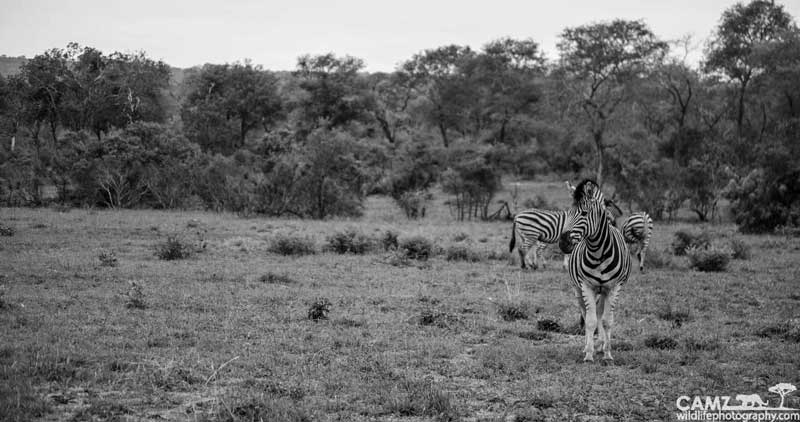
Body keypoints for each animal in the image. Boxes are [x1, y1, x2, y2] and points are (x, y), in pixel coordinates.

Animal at [566, 179, 631, 362]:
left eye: (584, 213)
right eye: (568, 213)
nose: (563, 243)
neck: (598, 252)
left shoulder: (614, 287)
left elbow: (607, 321)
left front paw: (608, 354)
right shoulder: (586, 285)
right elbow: (590, 321)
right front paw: (589, 354)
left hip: (604, 290)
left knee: (601, 313)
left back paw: (602, 344)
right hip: (578, 289)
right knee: (586, 312)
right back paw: (588, 346)